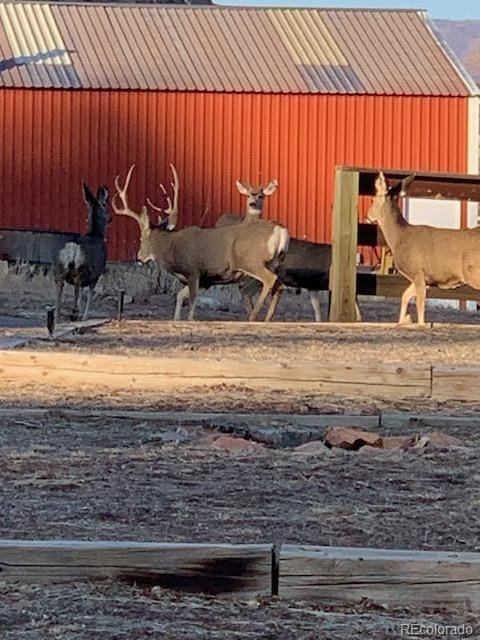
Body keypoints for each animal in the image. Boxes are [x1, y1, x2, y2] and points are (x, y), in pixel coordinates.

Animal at [54, 182, 110, 322]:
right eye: (106, 205)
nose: (110, 218)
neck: (96, 234)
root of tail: (73, 247)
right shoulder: (97, 273)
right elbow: (89, 295)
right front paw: (85, 316)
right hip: (81, 269)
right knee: (77, 288)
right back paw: (74, 313)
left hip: (58, 269)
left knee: (60, 290)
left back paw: (58, 317)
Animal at [112, 165, 288, 320]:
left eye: (141, 239)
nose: (138, 257)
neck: (171, 248)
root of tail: (280, 231)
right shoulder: (207, 279)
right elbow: (180, 296)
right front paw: (176, 318)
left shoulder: (194, 271)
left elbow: (191, 305)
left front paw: (188, 318)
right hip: (275, 262)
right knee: (279, 286)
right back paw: (267, 318)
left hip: (251, 260)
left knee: (270, 280)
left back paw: (254, 315)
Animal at [366, 172, 480, 324]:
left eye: (373, 199)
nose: (367, 216)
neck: (399, 238)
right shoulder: (425, 279)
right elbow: (405, 296)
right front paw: (401, 322)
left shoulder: (417, 272)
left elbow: (420, 306)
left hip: (473, 272)